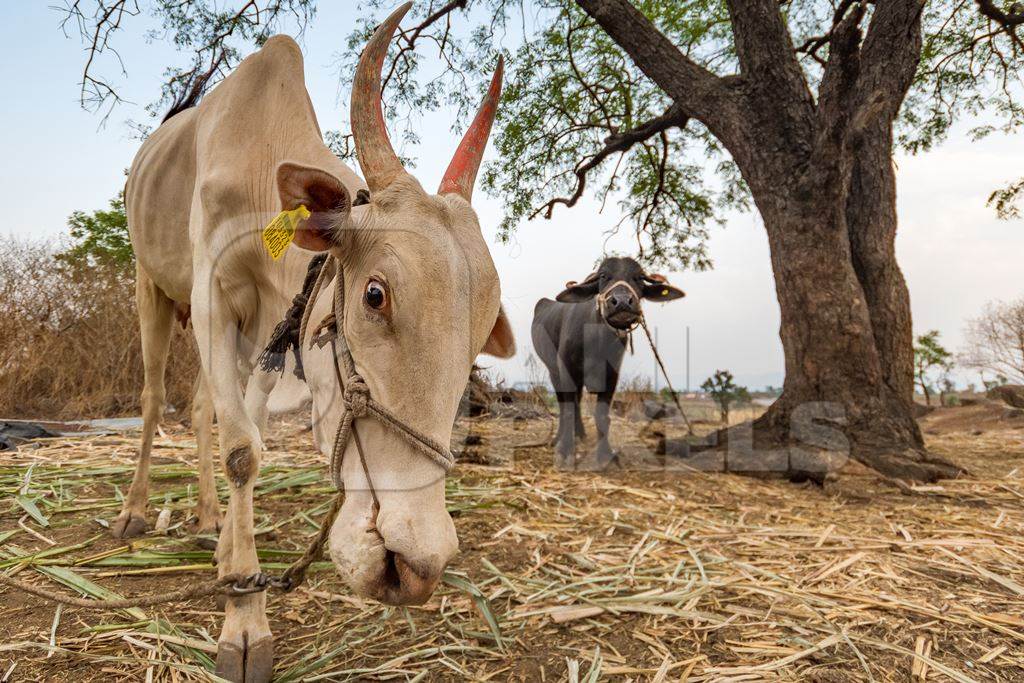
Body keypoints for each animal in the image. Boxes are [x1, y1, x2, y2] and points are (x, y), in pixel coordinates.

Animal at [532, 258, 684, 471]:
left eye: (638, 277)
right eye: (603, 276)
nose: (622, 301)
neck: (596, 338)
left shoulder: (612, 373)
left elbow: (602, 415)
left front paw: (605, 455)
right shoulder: (566, 368)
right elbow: (567, 409)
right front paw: (565, 452)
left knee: (577, 400)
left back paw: (580, 434)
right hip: (553, 370)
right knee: (564, 403)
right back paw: (560, 438)